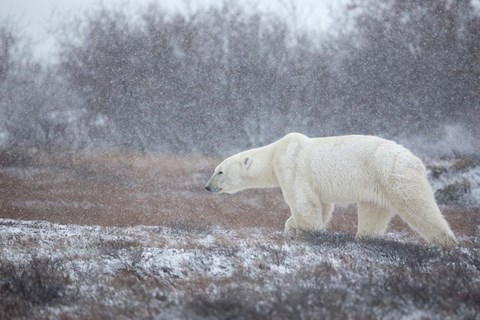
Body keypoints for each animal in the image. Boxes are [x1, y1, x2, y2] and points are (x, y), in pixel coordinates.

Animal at [205, 132, 458, 248]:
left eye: (220, 171)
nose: (207, 186)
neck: (276, 152)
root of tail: (416, 160)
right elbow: (322, 205)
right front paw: (290, 229)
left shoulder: (292, 165)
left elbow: (304, 204)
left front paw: (307, 234)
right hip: (376, 186)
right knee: (373, 213)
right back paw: (363, 240)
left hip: (394, 175)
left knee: (419, 207)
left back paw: (447, 243)